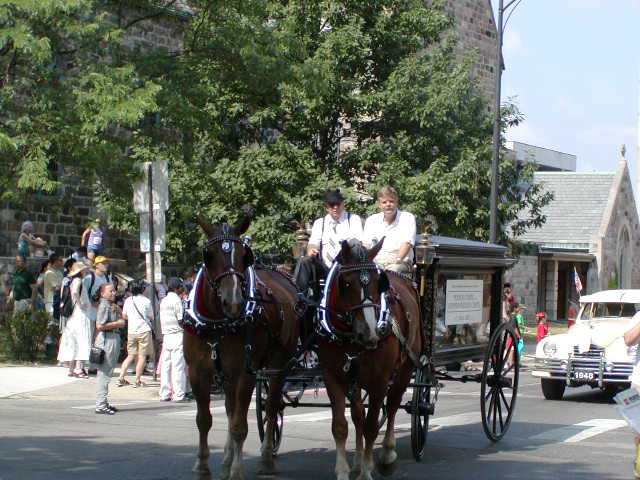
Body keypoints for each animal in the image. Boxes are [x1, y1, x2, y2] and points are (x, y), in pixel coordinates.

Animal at [183, 218, 301, 479]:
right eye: (209, 256)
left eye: (244, 256)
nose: (234, 302)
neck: (218, 323)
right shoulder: (198, 371)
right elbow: (204, 420)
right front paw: (202, 465)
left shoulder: (245, 373)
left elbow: (239, 425)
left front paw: (237, 470)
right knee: (230, 408)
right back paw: (227, 459)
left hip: (278, 364)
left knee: (272, 407)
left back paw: (266, 459)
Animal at [317, 239, 423, 480]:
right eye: (346, 283)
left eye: (377, 282)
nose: (370, 333)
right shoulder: (332, 376)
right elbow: (341, 426)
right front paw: (344, 470)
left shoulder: (379, 380)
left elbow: (372, 427)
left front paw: (367, 470)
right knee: (358, 414)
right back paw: (357, 460)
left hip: (406, 367)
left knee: (392, 405)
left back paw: (387, 454)